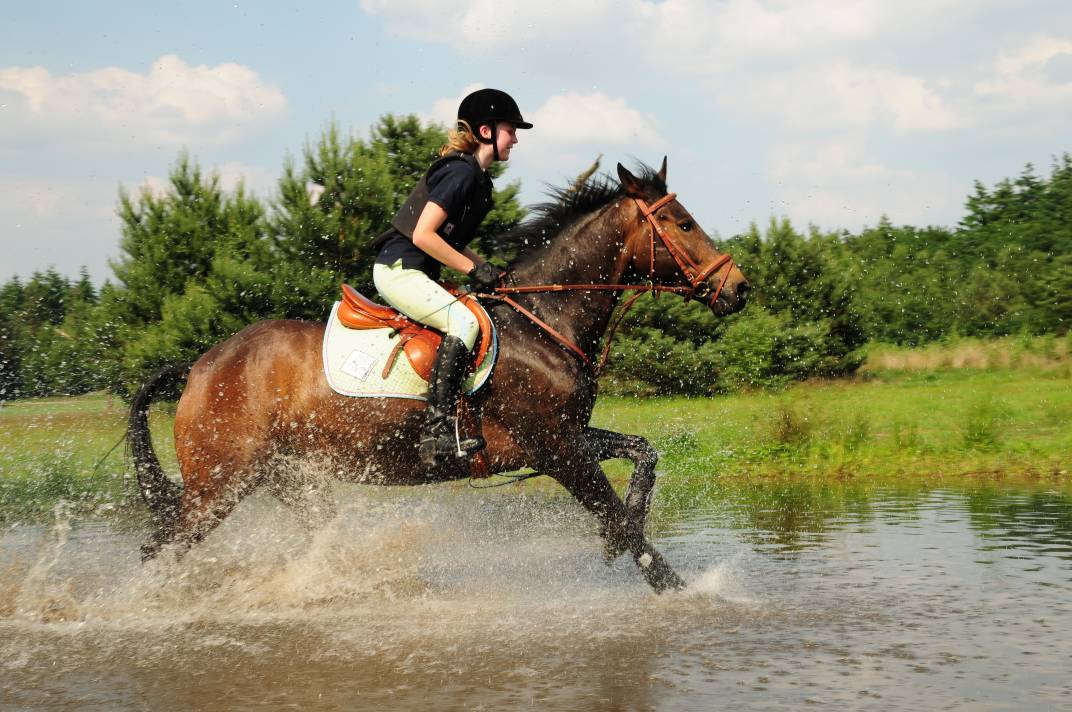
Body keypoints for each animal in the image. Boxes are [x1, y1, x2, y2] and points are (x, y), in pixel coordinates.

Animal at [127, 158, 746, 591]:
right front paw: (674, 585)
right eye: (682, 223)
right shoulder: (555, 447)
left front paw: (626, 539)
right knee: (158, 549)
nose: (738, 289)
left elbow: (643, 453)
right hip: (218, 485)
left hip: (289, 479)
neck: (544, 320)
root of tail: (201, 366)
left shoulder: (563, 436)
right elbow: (620, 514)